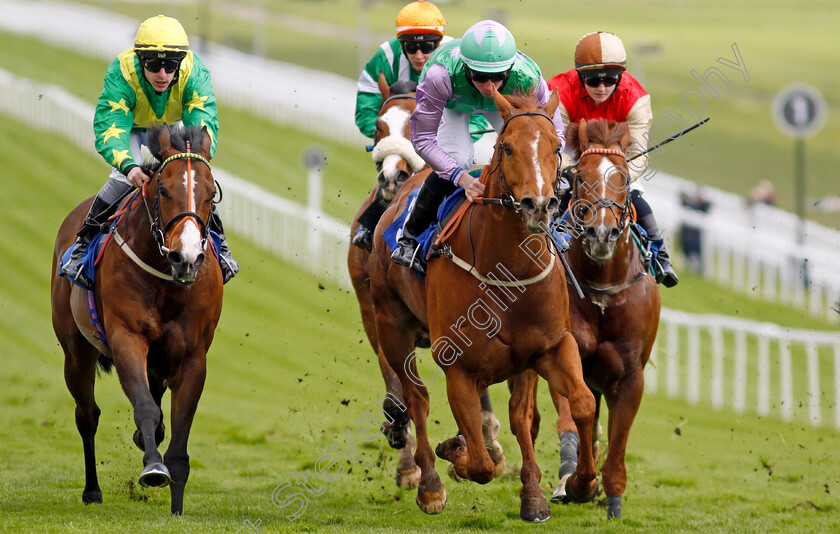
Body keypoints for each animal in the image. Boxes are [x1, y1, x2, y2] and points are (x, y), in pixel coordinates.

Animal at [51, 123, 225, 516]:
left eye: (211, 194)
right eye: (163, 189)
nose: (186, 258)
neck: (166, 280)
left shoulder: (193, 355)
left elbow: (177, 429)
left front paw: (176, 505)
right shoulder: (126, 338)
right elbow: (145, 407)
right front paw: (154, 468)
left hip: (159, 361)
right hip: (76, 351)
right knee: (87, 415)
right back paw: (92, 490)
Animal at [370, 91, 600, 524]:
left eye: (556, 147)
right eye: (507, 147)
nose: (538, 204)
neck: (508, 269)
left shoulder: (548, 348)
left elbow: (575, 404)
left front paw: (570, 487)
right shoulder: (458, 367)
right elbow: (480, 465)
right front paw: (455, 456)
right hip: (390, 324)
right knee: (417, 400)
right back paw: (429, 484)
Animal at [544, 118, 664, 520]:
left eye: (623, 178)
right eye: (580, 176)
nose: (601, 232)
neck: (602, 289)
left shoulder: (629, 376)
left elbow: (617, 438)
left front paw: (611, 497)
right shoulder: (565, 356)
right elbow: (575, 419)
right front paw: (577, 481)